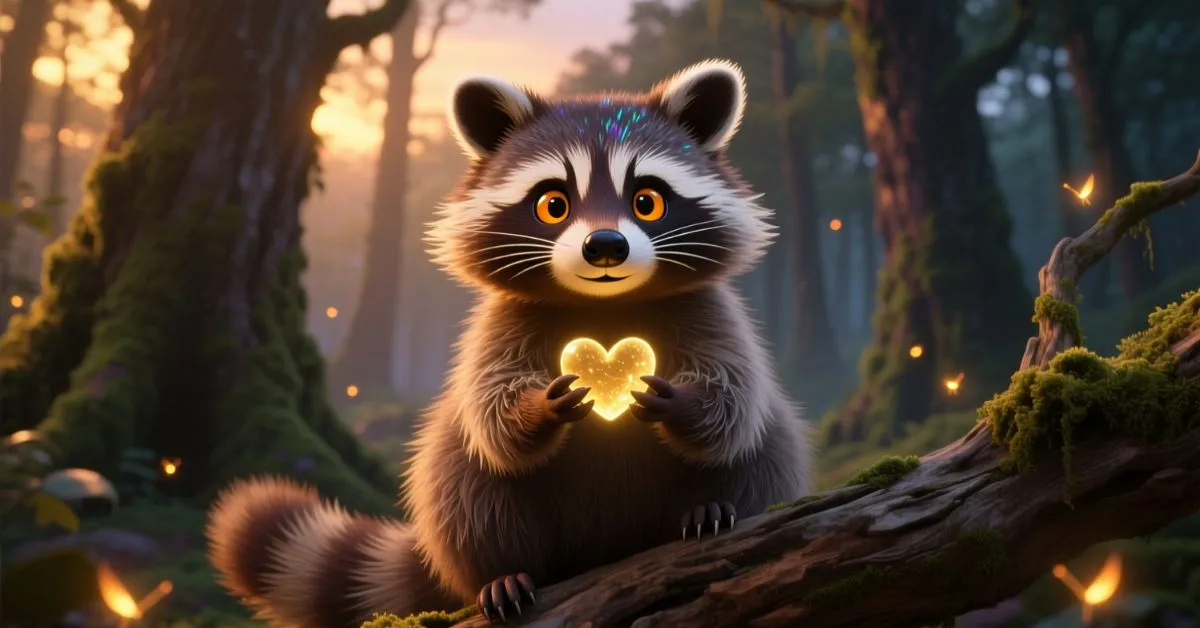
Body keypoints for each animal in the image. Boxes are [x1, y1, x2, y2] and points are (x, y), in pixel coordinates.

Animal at [207, 59, 813, 627]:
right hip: (469, 504)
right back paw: (503, 572)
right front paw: (538, 407)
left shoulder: (711, 311)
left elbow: (733, 401)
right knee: (462, 475)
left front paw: (681, 402)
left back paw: (710, 507)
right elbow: (492, 416)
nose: (606, 246)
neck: (604, 307)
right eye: (553, 204)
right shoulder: (498, 325)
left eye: (647, 201)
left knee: (766, 444)